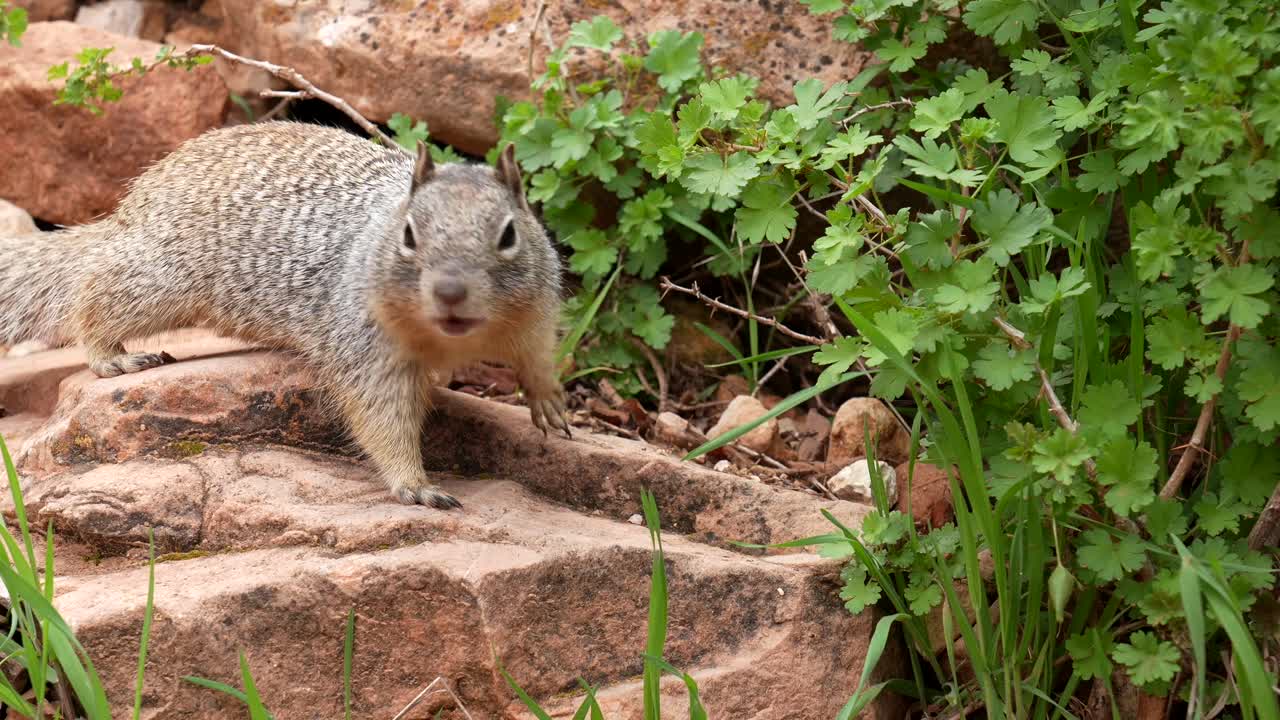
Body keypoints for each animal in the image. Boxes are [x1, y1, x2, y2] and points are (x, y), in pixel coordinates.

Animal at [0, 121, 570, 509]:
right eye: (408, 234)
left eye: (509, 234)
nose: (451, 290)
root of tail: (130, 211)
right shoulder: (365, 341)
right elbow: (380, 414)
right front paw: (415, 484)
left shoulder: (537, 308)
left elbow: (539, 353)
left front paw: (548, 401)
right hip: (160, 277)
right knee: (93, 290)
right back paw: (111, 355)